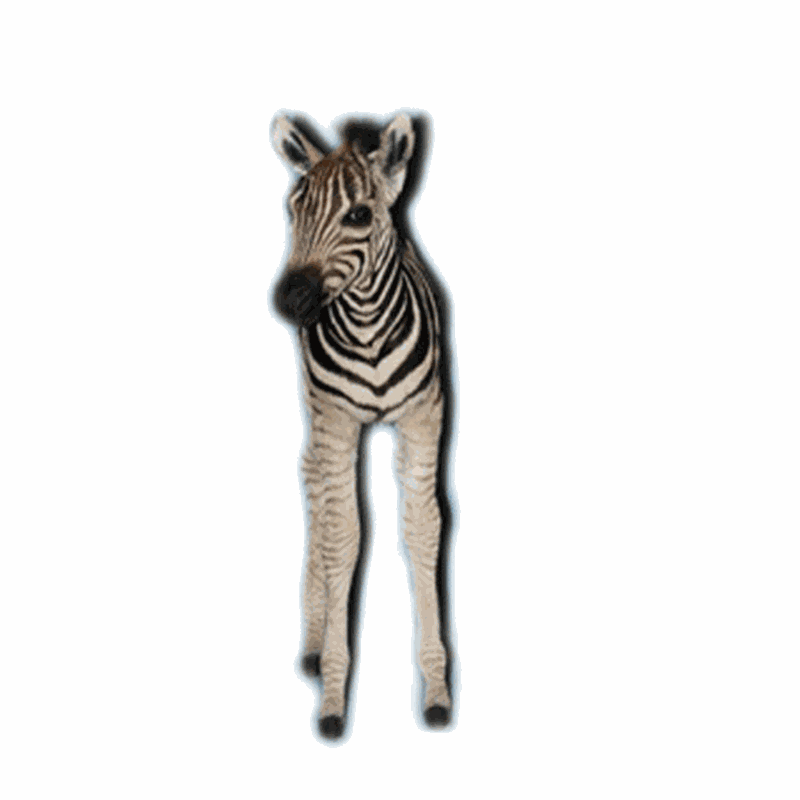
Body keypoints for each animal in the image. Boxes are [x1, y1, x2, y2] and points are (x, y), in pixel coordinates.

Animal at [271, 112, 452, 738]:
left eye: (358, 216)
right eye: (293, 209)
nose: (289, 299)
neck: (368, 329)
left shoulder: (425, 418)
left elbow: (423, 531)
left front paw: (437, 689)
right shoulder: (336, 421)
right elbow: (342, 537)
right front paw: (333, 689)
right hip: (318, 416)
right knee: (317, 497)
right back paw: (312, 636)